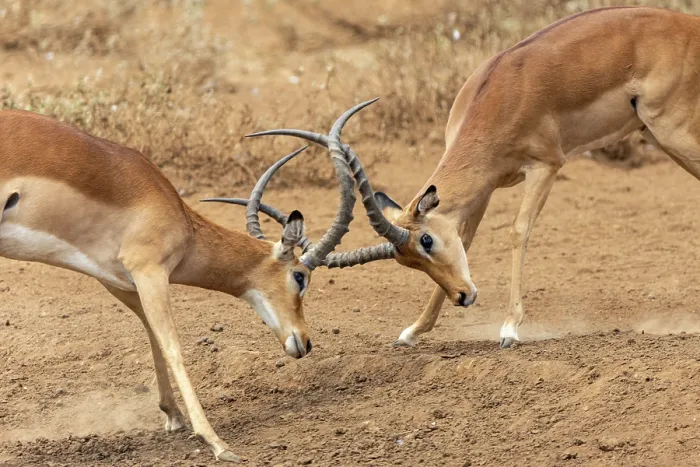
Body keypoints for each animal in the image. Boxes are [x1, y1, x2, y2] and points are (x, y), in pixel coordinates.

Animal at [0, 108, 359, 462]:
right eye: (300, 276)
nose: (304, 343)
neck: (177, 215)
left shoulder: (120, 282)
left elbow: (154, 338)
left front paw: (172, 416)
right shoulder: (149, 270)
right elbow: (174, 347)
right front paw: (217, 443)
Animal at [234, 6, 700, 349]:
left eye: (425, 240)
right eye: (407, 260)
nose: (464, 297)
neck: (503, 93)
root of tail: (689, 24)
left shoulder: (545, 166)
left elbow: (518, 232)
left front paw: (510, 330)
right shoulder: (486, 188)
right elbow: (470, 239)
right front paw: (412, 331)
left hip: (671, 133)